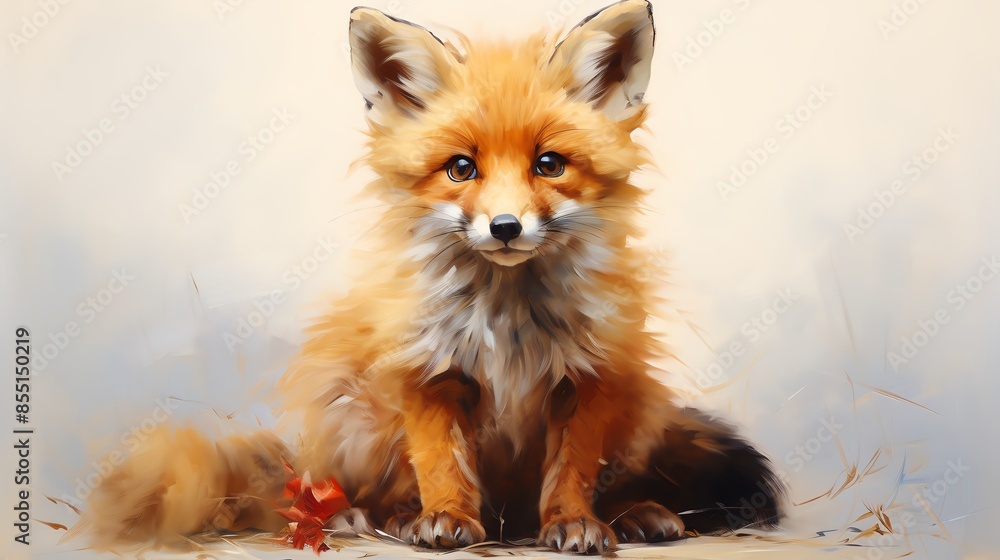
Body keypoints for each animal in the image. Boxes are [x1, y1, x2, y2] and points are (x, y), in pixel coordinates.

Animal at [74, 0, 784, 555]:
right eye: (461, 168)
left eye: (549, 164)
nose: (505, 227)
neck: (508, 321)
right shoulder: (428, 370)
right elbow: (441, 462)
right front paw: (446, 517)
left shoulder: (587, 378)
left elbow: (573, 471)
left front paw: (575, 523)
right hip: (350, 409)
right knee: (361, 489)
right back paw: (375, 516)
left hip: (638, 408)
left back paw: (636, 514)